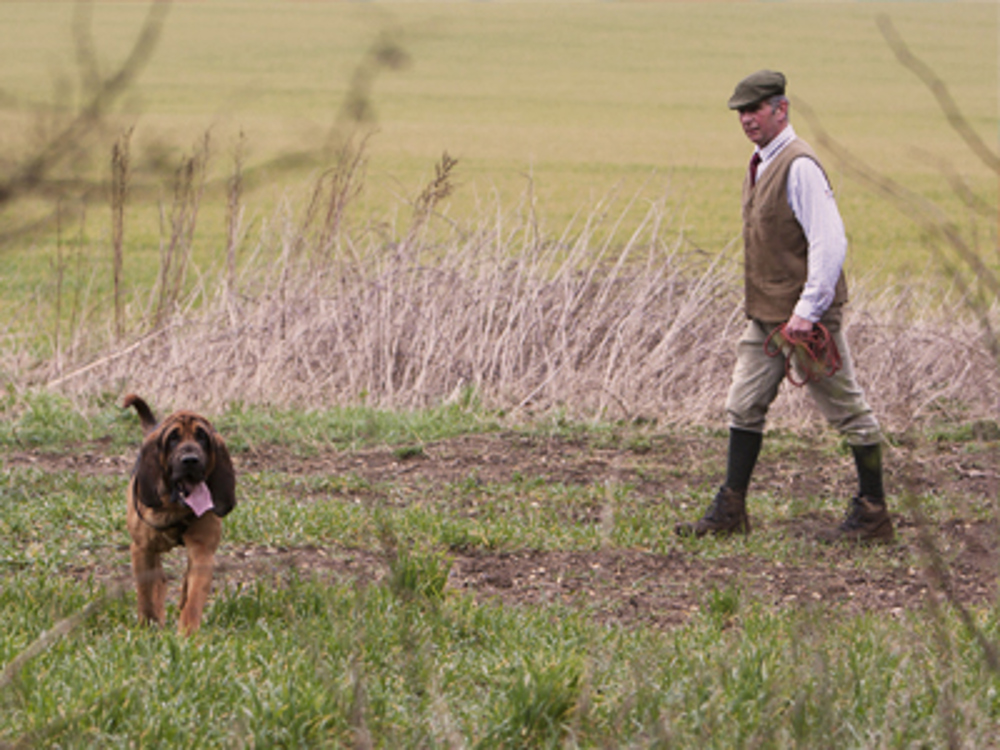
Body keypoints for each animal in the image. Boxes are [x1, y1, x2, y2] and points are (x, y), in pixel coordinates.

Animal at [122, 396, 235, 636]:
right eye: (173, 438)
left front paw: (187, 632)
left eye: (202, 437)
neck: (175, 509)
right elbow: (145, 594)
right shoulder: (141, 549)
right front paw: (148, 625)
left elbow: (193, 596)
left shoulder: (202, 551)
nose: (190, 460)